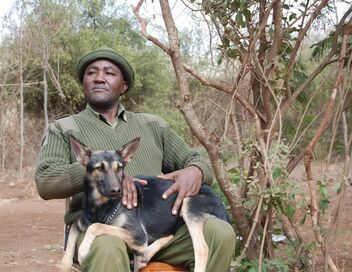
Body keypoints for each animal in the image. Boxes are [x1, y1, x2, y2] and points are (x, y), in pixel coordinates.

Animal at [60, 137, 230, 270]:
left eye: (119, 168)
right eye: (100, 169)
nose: (117, 191)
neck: (101, 206)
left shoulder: (138, 235)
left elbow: (96, 226)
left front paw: (83, 250)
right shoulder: (79, 224)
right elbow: (70, 246)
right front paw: (67, 261)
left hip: (189, 202)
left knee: (202, 248)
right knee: (171, 234)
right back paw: (146, 255)